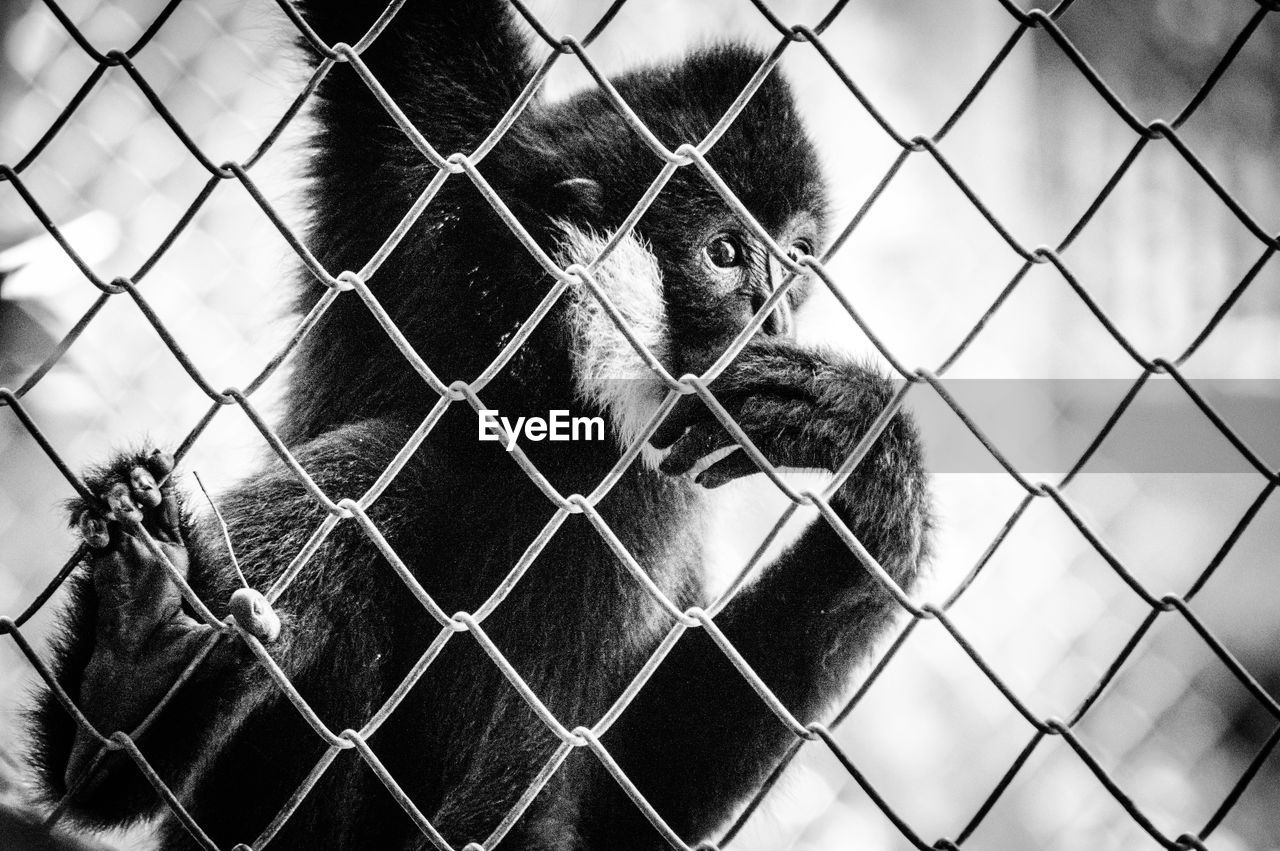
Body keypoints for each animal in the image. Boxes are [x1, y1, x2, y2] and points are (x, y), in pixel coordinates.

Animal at [27, 3, 931, 844]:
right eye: (727, 254)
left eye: (795, 264)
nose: (774, 318)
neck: (545, 381)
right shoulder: (437, 186)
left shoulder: (646, 491)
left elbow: (623, 793)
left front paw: (869, 467)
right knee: (387, 472)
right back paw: (128, 673)